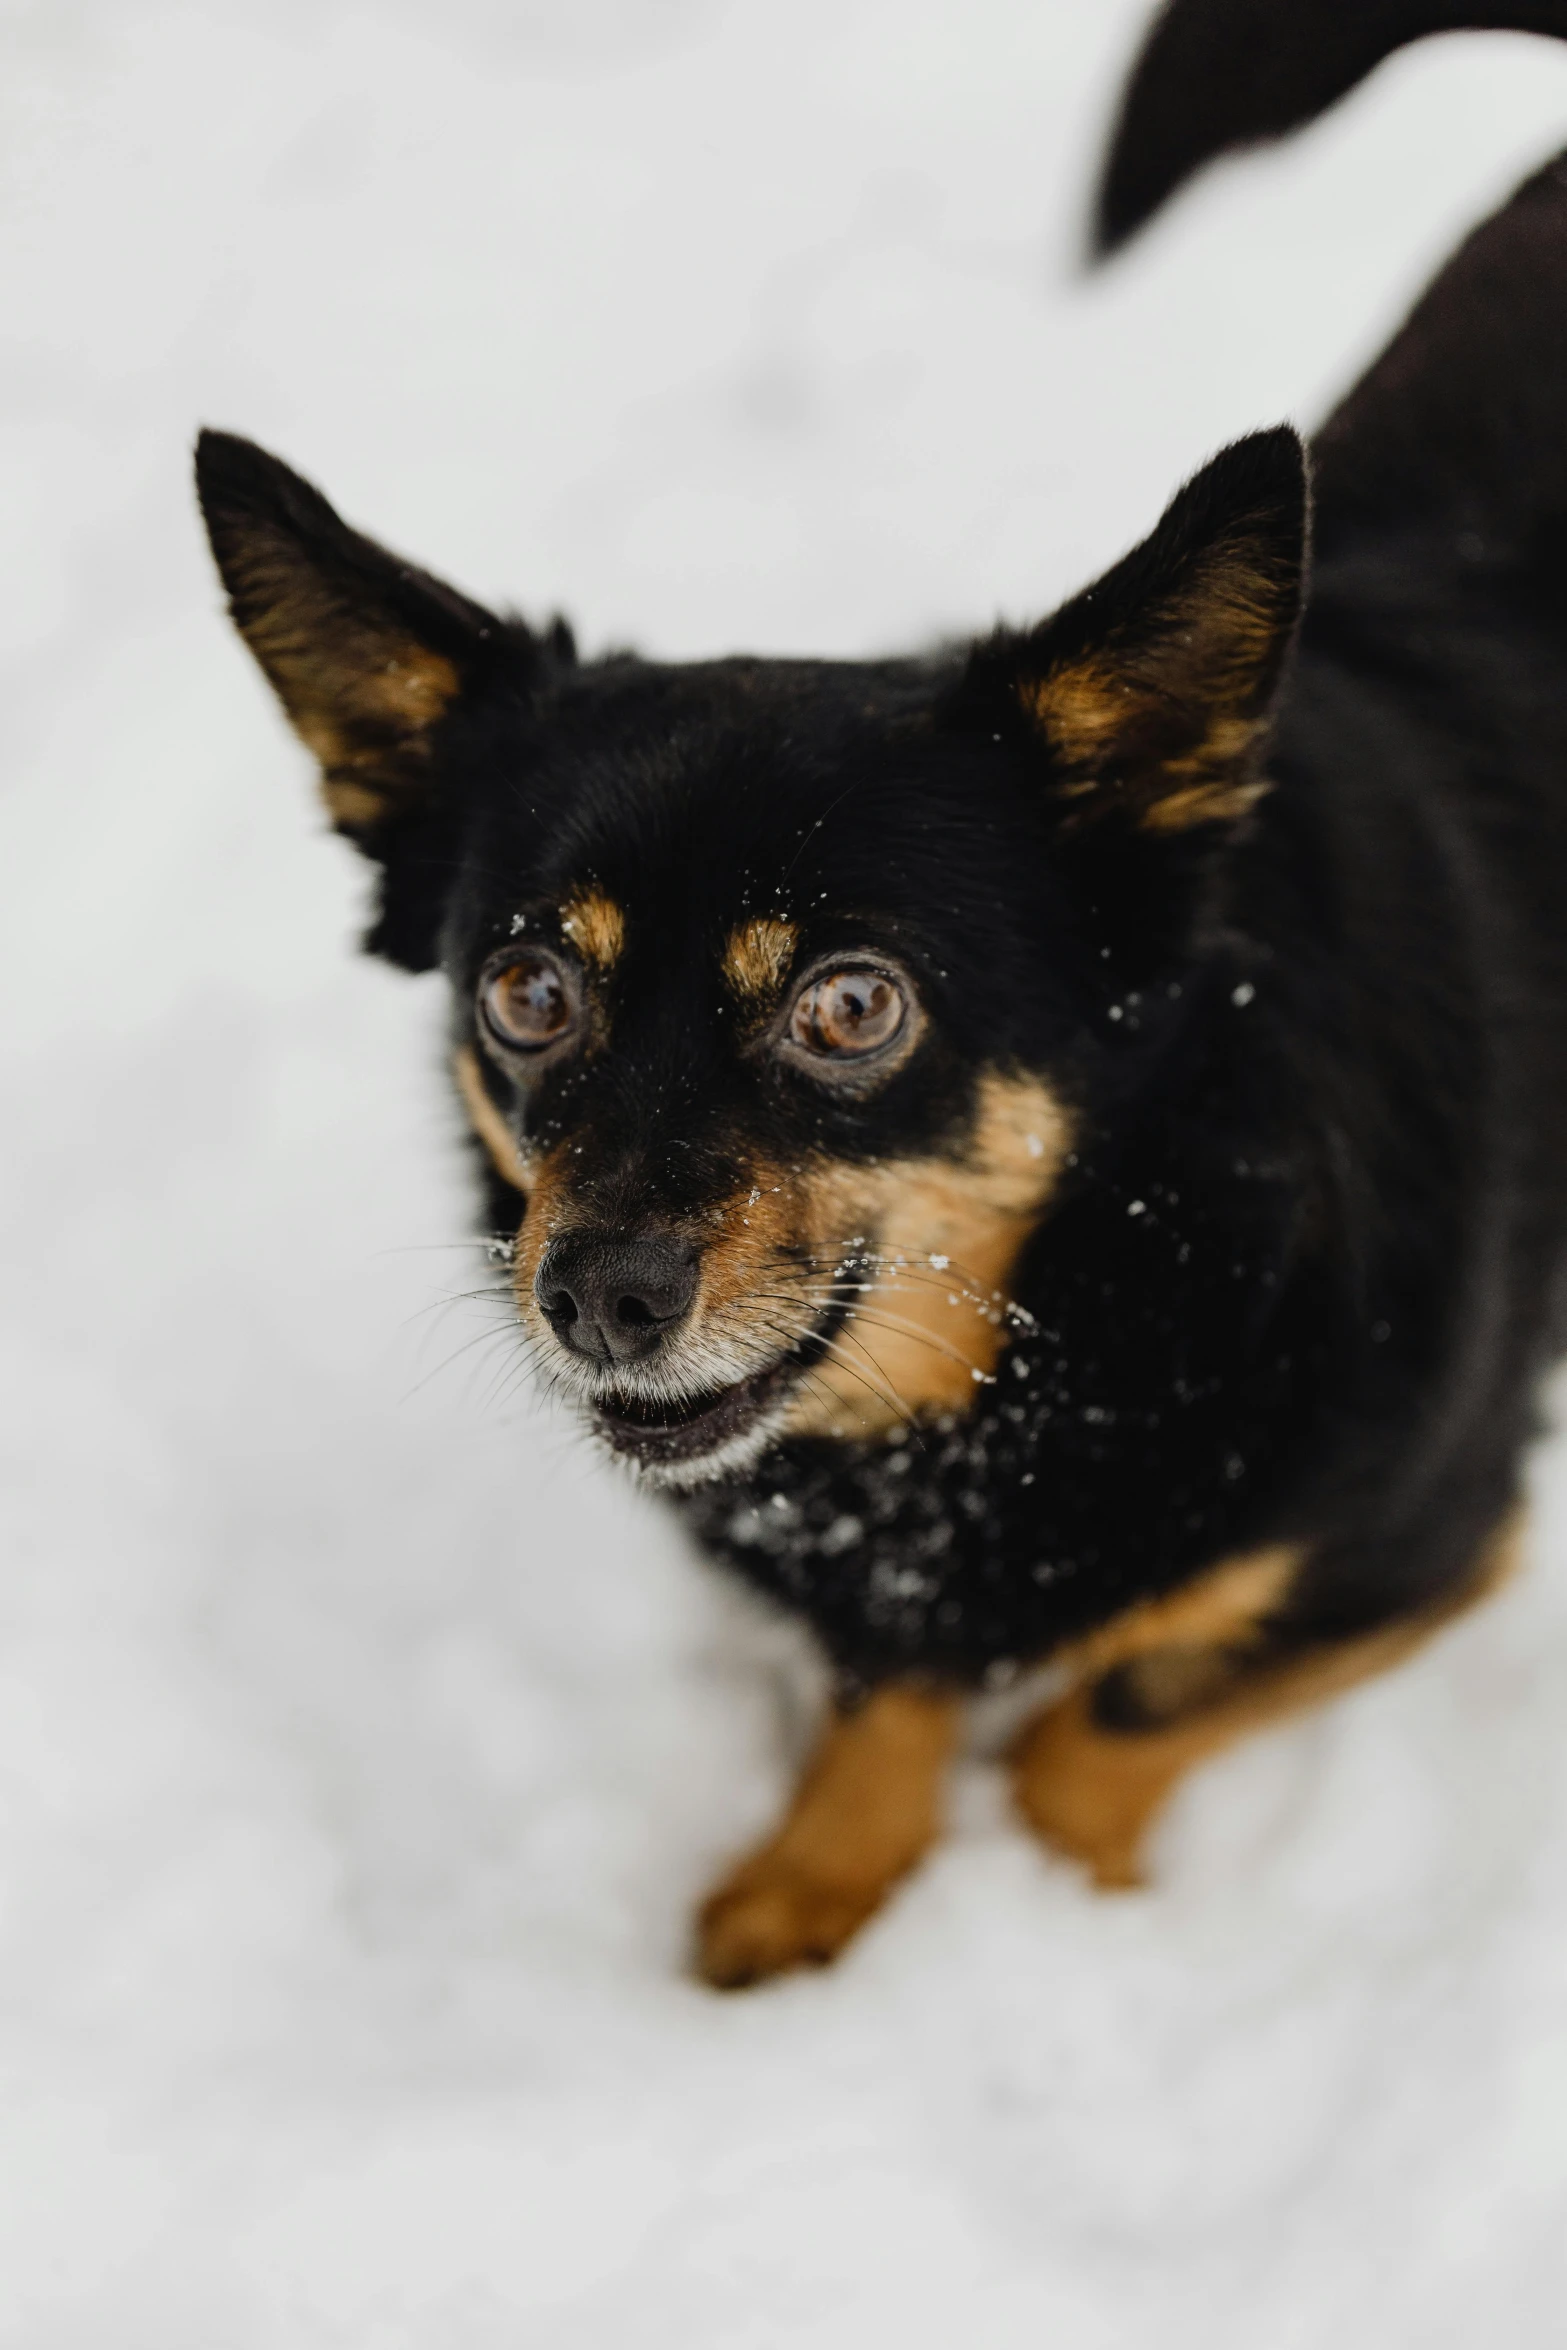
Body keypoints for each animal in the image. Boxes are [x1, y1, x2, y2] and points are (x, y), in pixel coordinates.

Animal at [202, 0, 1567, 1983]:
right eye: (526, 991)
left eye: (852, 1006)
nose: (595, 1298)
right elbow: (884, 1697)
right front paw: (817, 1892)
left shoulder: (1409, 1553)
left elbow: (1109, 1715)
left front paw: (1058, 1900)